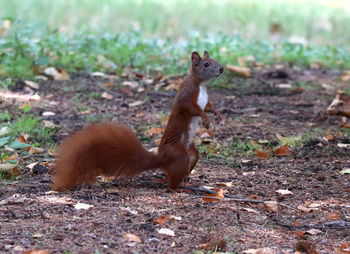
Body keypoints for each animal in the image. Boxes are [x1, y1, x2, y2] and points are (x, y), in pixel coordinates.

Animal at [53, 50, 223, 190]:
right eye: (206, 64)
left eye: (215, 60)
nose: (221, 69)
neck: (201, 85)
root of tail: (162, 158)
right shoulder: (186, 94)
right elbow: (190, 107)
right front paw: (205, 118)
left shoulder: (203, 100)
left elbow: (208, 106)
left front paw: (217, 114)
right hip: (179, 155)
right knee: (171, 184)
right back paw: (181, 188)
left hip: (191, 153)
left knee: (183, 165)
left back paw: (182, 181)